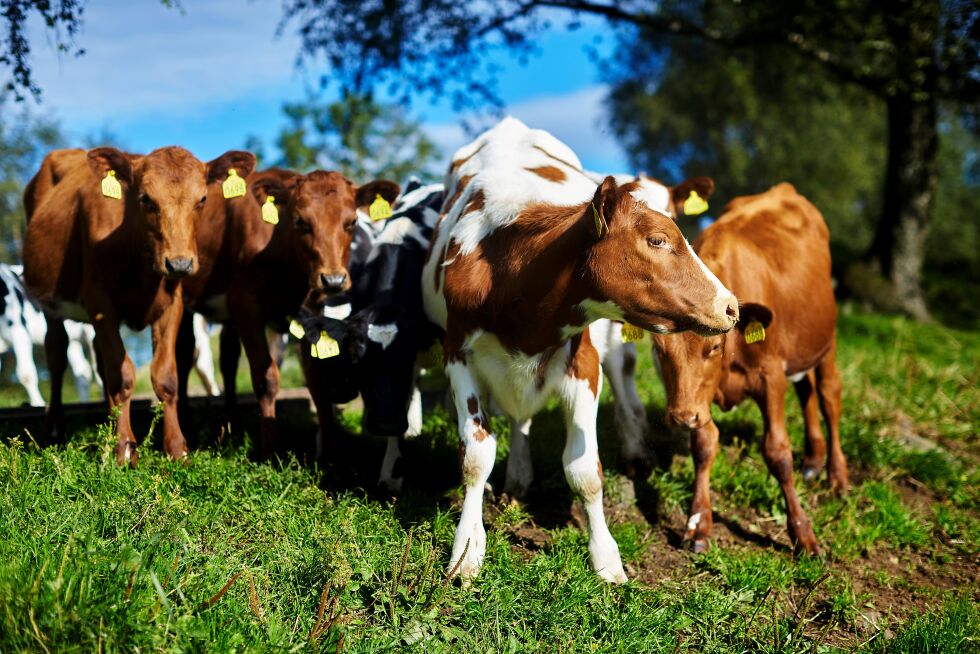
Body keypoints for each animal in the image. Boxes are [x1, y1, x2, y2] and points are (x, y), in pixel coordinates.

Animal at [23, 147, 255, 468]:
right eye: (146, 198)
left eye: (202, 199)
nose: (180, 264)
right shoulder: (100, 302)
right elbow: (123, 376)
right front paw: (124, 448)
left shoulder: (172, 305)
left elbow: (165, 378)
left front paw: (176, 448)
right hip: (50, 304)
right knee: (57, 354)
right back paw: (56, 428)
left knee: (100, 361)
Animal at [180, 167, 398, 458]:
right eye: (300, 221)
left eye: (352, 221)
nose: (334, 280)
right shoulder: (246, 306)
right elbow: (266, 377)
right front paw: (271, 449)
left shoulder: (311, 312)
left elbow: (315, 380)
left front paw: (329, 450)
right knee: (184, 356)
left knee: (227, 359)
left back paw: (230, 426)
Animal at [424, 118, 740, 584]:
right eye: (658, 240)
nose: (731, 305)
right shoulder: (457, 356)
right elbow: (476, 456)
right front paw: (467, 550)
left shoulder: (585, 365)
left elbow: (585, 470)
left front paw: (606, 558)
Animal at [652, 183, 848, 560]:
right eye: (659, 349)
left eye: (714, 347)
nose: (681, 417)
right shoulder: (701, 399)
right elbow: (703, 445)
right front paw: (699, 522)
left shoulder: (770, 377)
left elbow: (778, 453)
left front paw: (802, 533)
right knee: (807, 392)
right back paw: (813, 460)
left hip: (827, 341)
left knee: (828, 396)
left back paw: (837, 475)